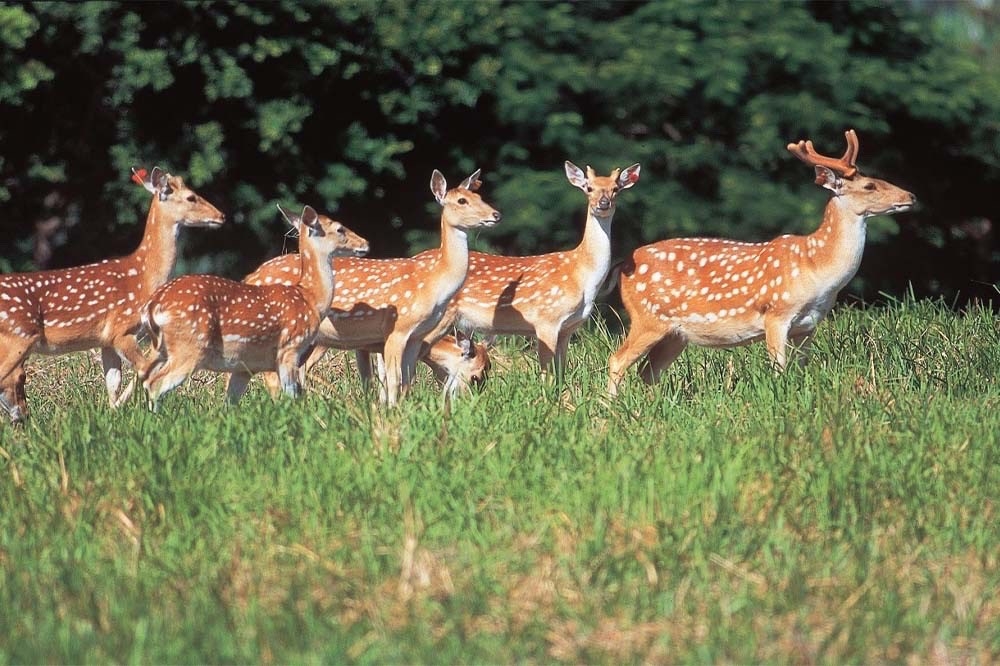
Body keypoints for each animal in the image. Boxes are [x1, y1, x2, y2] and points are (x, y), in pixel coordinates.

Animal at [0, 165, 223, 420]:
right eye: (191, 197)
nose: (221, 216)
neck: (144, 277)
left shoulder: (105, 340)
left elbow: (113, 383)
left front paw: (112, 413)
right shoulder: (121, 329)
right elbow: (145, 369)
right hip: (17, 336)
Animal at [142, 205, 372, 408]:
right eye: (340, 229)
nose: (366, 243)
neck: (309, 297)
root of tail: (153, 305)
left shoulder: (244, 366)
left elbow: (229, 405)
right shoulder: (289, 349)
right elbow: (292, 397)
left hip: (161, 348)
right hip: (189, 346)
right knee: (155, 383)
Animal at [239, 166, 504, 404]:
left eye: (480, 196)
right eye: (462, 200)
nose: (496, 215)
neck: (433, 283)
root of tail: (249, 277)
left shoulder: (406, 338)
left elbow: (395, 380)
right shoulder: (397, 330)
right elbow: (394, 380)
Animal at [432, 158, 640, 370]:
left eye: (615, 189)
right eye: (589, 188)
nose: (603, 203)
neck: (582, 275)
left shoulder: (568, 328)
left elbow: (560, 372)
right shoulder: (546, 319)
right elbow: (546, 372)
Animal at [604, 128, 916, 394]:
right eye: (870, 185)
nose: (911, 196)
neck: (817, 268)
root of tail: (622, 265)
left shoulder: (809, 325)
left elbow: (801, 368)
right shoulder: (776, 313)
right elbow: (779, 368)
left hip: (675, 334)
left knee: (648, 371)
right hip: (647, 317)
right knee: (617, 360)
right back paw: (610, 408)